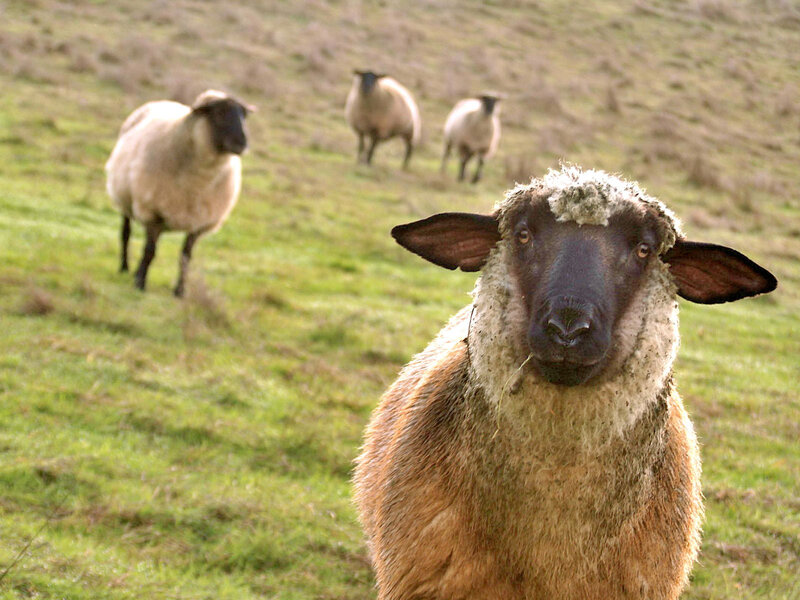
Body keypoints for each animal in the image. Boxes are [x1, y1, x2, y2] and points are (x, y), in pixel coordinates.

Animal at [105, 89, 253, 297]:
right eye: (219, 112)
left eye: (243, 115)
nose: (242, 143)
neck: (199, 180)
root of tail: (162, 101)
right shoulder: (153, 211)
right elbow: (150, 250)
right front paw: (141, 283)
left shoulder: (198, 221)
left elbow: (185, 257)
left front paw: (180, 291)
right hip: (126, 199)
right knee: (125, 233)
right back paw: (125, 267)